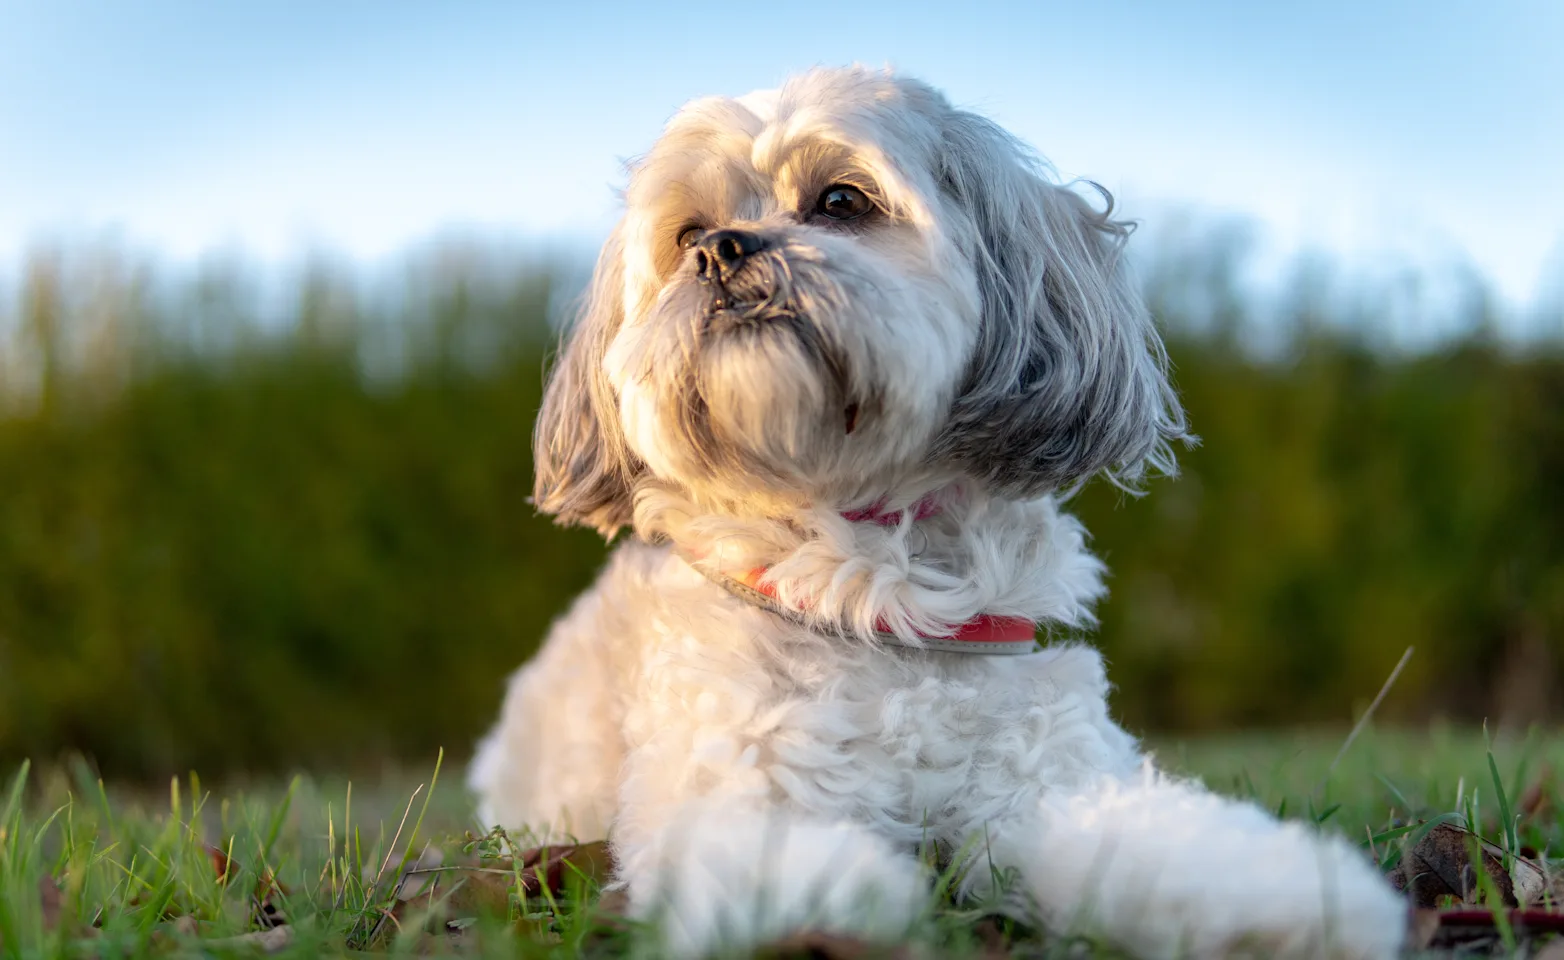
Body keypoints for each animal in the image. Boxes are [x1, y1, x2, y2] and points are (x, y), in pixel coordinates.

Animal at [462, 64, 1407, 956]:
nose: (722, 250)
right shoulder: (732, 771)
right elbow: (767, 850)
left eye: (841, 201)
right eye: (687, 234)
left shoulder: (1051, 783)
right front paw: (820, 905)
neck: (875, 584)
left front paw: (1286, 901)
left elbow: (1156, 846)